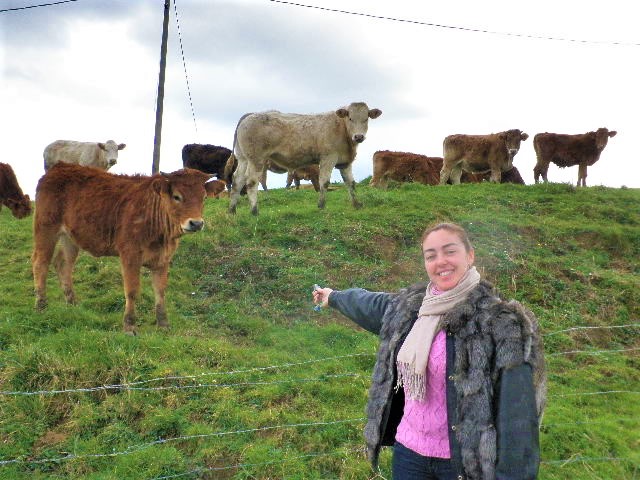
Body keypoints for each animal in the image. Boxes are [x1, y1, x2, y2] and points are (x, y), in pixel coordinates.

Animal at [33, 163, 228, 332]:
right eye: (177, 196)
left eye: (204, 197)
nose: (196, 223)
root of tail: (59, 167)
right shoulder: (129, 255)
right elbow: (132, 290)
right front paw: (129, 326)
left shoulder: (163, 259)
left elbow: (160, 290)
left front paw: (163, 325)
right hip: (45, 228)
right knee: (40, 263)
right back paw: (41, 305)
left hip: (70, 237)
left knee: (63, 263)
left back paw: (72, 303)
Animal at [229, 103, 382, 216]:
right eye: (350, 118)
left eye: (366, 118)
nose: (358, 136)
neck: (342, 130)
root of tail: (250, 114)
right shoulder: (328, 157)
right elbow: (324, 182)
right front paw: (321, 206)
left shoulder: (345, 162)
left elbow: (351, 183)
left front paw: (357, 204)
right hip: (256, 159)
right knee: (251, 181)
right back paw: (254, 211)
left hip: (243, 158)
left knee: (237, 180)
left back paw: (232, 210)